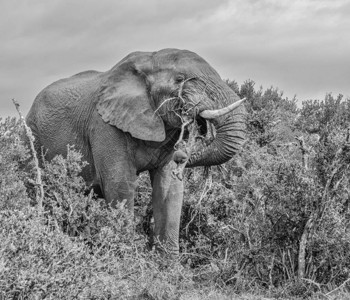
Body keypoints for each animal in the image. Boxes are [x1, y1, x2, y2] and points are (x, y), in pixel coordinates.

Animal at [26, 48, 246, 253]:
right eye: (180, 79)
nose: (182, 156)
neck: (148, 59)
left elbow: (169, 188)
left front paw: (169, 268)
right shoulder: (104, 125)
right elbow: (120, 184)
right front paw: (127, 258)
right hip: (32, 136)